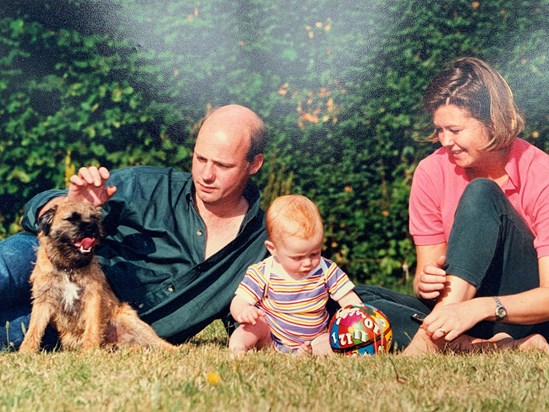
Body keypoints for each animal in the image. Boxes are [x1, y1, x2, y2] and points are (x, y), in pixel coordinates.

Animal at [19, 200, 173, 350]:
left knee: (162, 344)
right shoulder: (43, 300)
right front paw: (26, 351)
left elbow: (92, 327)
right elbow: (34, 329)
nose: (91, 226)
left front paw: (89, 351)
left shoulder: (92, 298)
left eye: (94, 217)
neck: (69, 268)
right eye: (71, 218)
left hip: (131, 322)